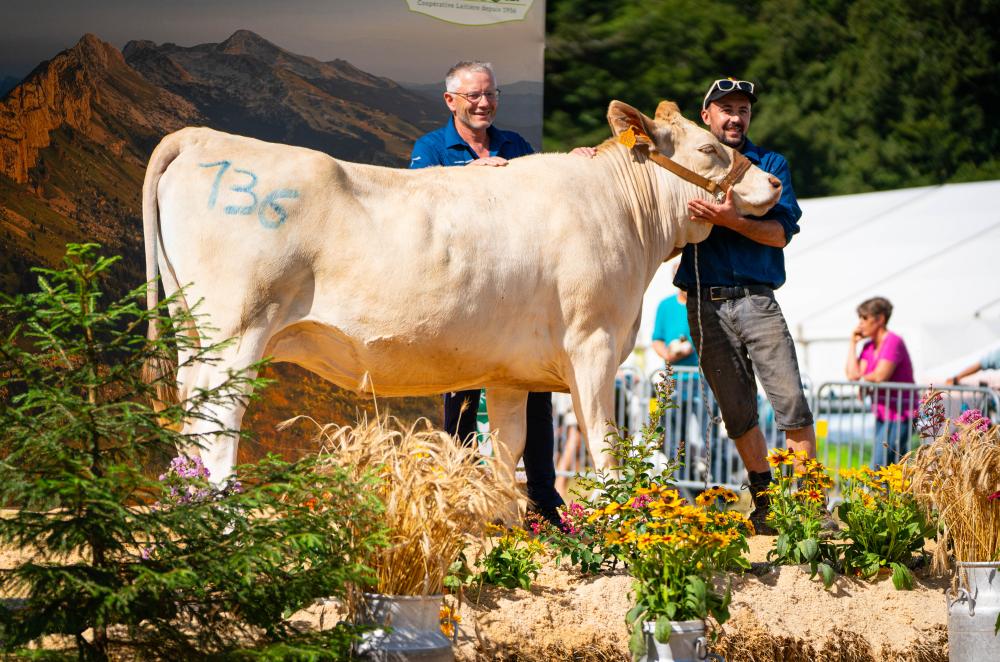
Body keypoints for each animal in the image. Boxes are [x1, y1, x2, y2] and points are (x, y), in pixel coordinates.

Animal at [143, 100, 780, 498]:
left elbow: (507, 452)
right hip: (237, 331)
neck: (623, 213)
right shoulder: (594, 342)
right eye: (708, 149)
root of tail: (202, 136)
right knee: (218, 427)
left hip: (195, 331)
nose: (773, 182)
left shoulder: (510, 372)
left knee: (191, 421)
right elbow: (604, 445)